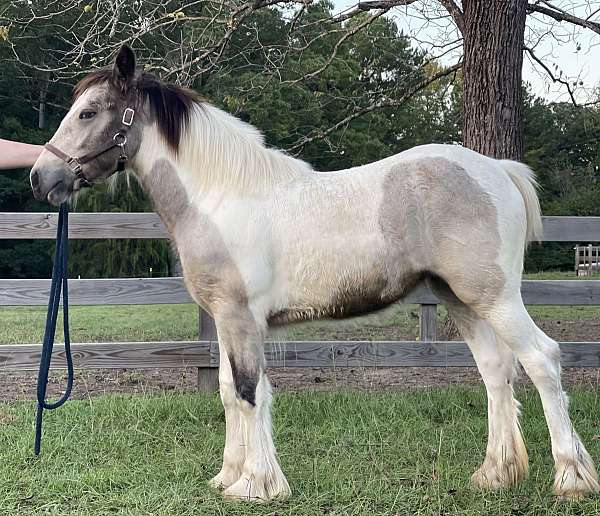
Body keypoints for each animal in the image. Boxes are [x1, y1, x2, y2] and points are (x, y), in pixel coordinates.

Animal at [30, 47, 596, 500]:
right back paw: (495, 474)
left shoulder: (241, 318)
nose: (41, 178)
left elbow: (248, 392)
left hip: (496, 297)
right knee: (496, 371)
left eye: (89, 111)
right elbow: (228, 393)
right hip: (462, 299)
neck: (221, 195)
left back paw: (571, 478)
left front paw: (256, 485)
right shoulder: (224, 321)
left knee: (542, 360)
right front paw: (227, 476)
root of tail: (496, 169)